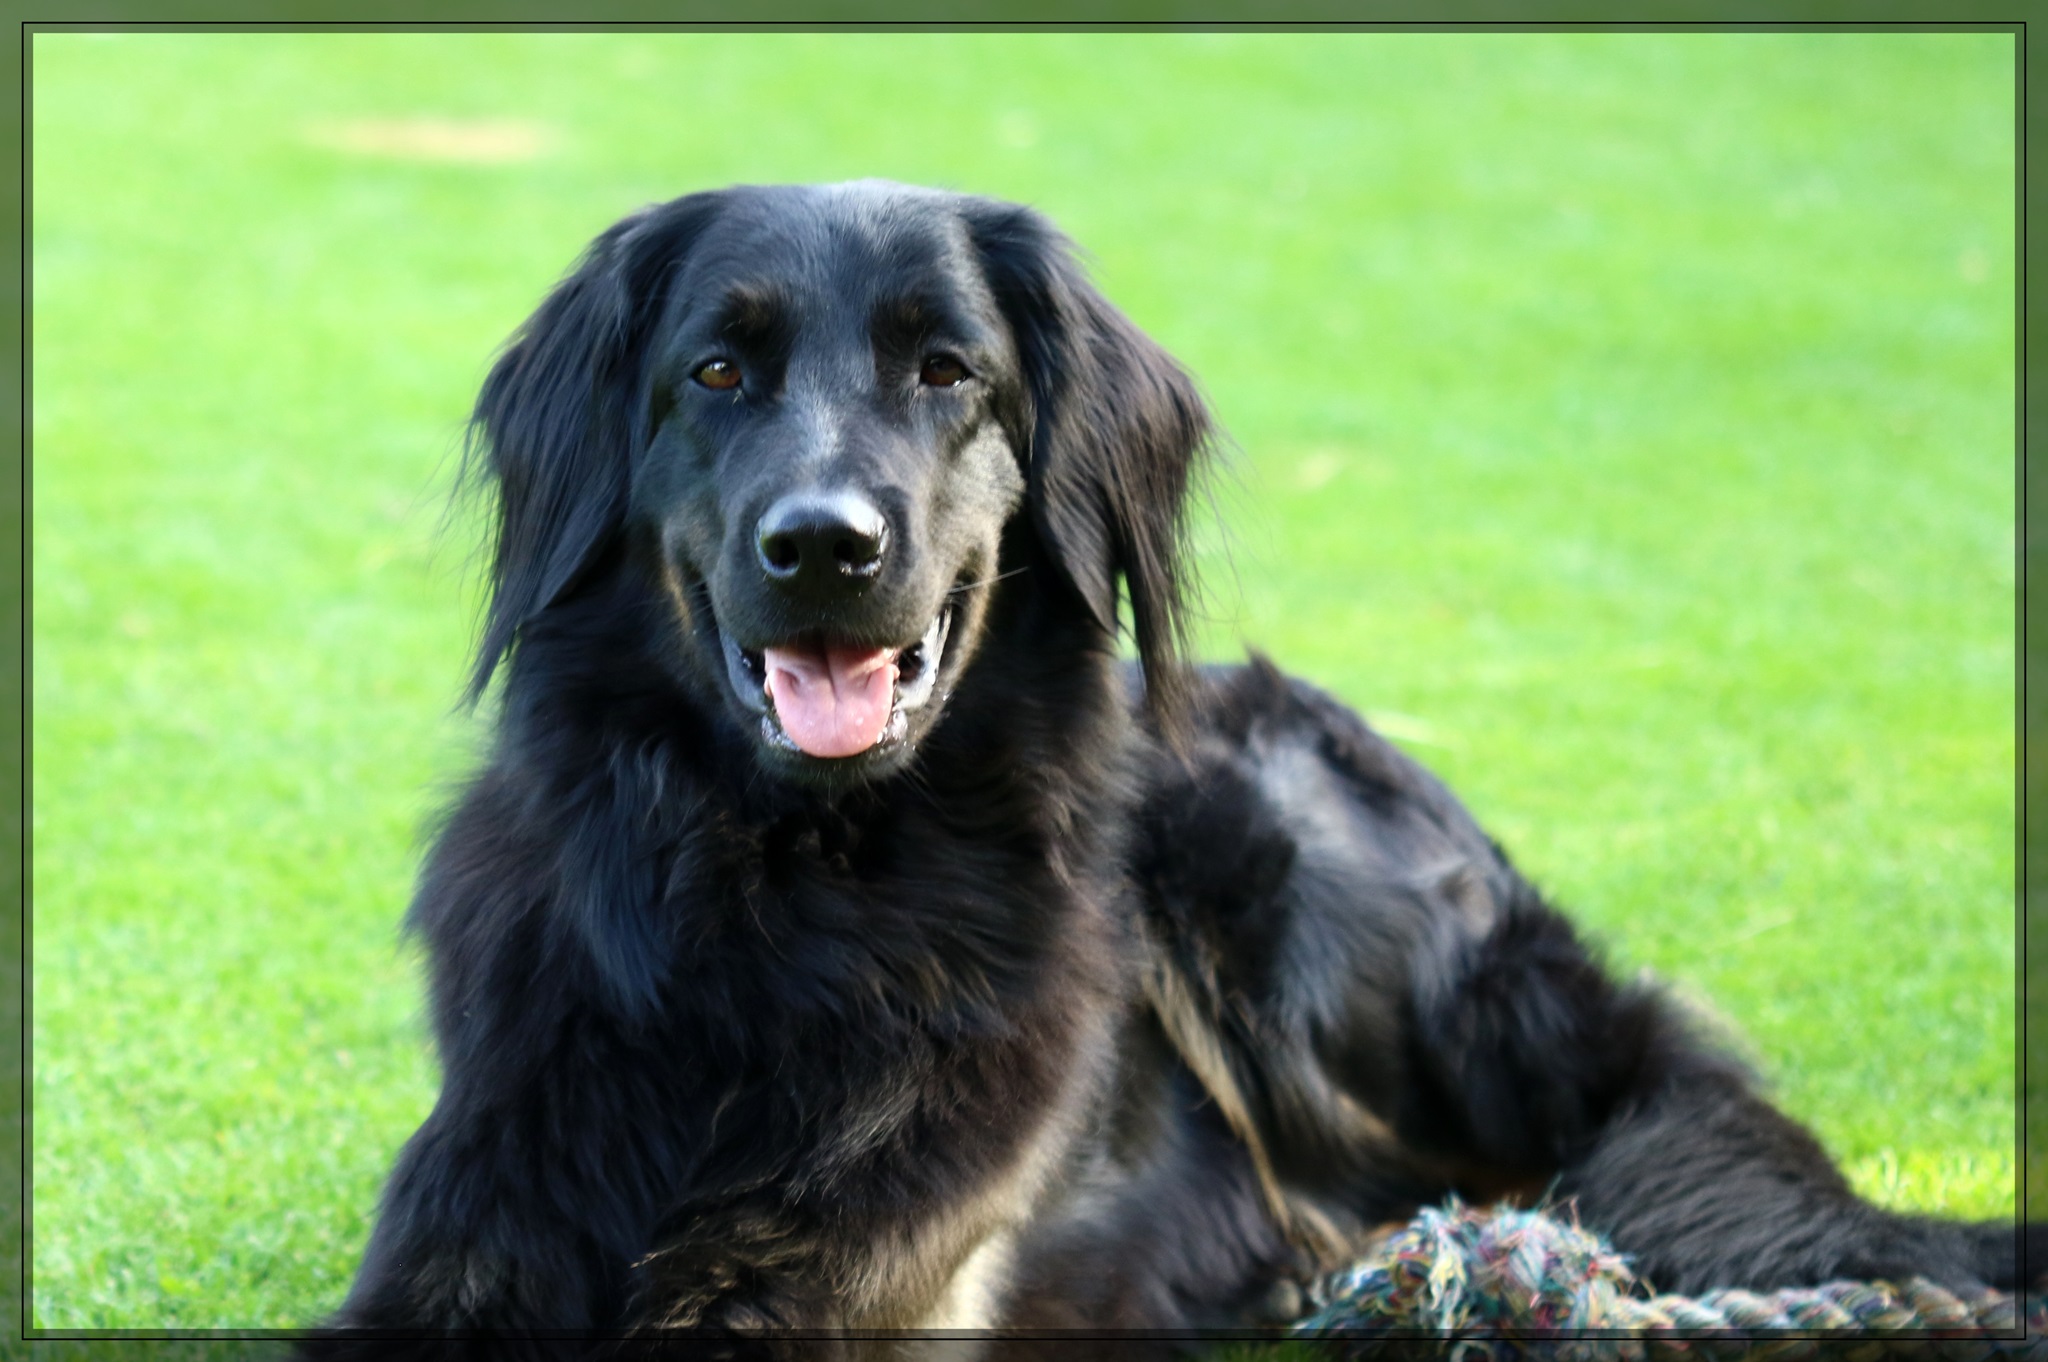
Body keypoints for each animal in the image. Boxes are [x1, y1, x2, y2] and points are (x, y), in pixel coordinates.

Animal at [315, 181, 2031, 1356]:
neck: (786, 892)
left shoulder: (850, 1273)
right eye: (716, 373)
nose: (823, 546)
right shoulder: (478, 1216)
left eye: (949, 371)